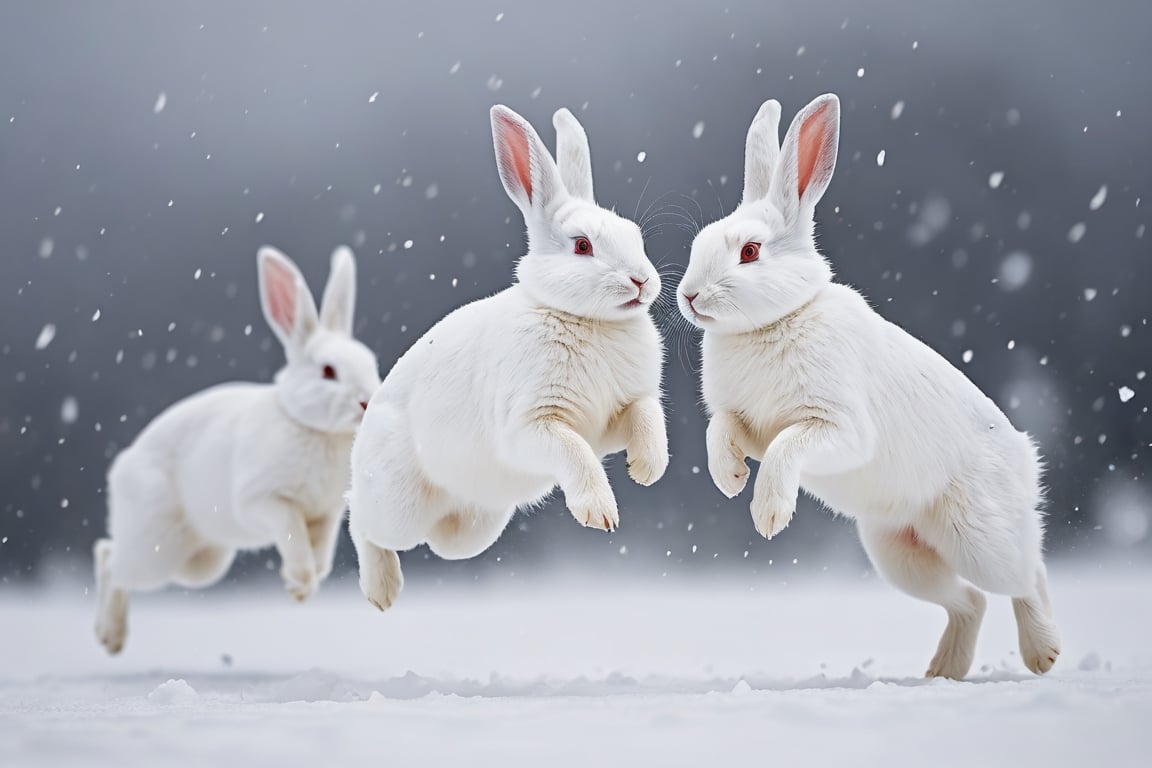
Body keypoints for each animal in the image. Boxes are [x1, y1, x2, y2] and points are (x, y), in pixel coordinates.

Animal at [94, 246, 380, 654]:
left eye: (370, 362)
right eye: (328, 371)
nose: (367, 401)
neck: (314, 428)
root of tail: (121, 469)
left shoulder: (326, 515)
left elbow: (321, 554)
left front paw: (298, 587)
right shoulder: (263, 501)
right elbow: (292, 535)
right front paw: (299, 581)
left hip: (198, 565)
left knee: (109, 555)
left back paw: (110, 637)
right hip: (156, 548)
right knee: (112, 562)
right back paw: (109, 635)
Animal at [345, 103, 668, 612]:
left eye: (634, 236)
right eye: (582, 245)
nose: (641, 281)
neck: (585, 318)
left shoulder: (615, 416)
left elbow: (646, 417)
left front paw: (646, 469)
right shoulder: (533, 426)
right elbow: (574, 453)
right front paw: (599, 513)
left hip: (480, 524)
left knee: (445, 542)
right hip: (396, 507)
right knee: (358, 516)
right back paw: (382, 591)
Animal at [672, 94, 1059, 677]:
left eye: (750, 252)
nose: (690, 296)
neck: (777, 320)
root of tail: (1026, 461)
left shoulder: (837, 427)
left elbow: (788, 447)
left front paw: (767, 514)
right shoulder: (743, 420)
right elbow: (723, 431)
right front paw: (730, 478)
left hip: (981, 541)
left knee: (1026, 575)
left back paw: (1043, 655)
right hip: (897, 554)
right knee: (969, 601)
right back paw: (942, 672)